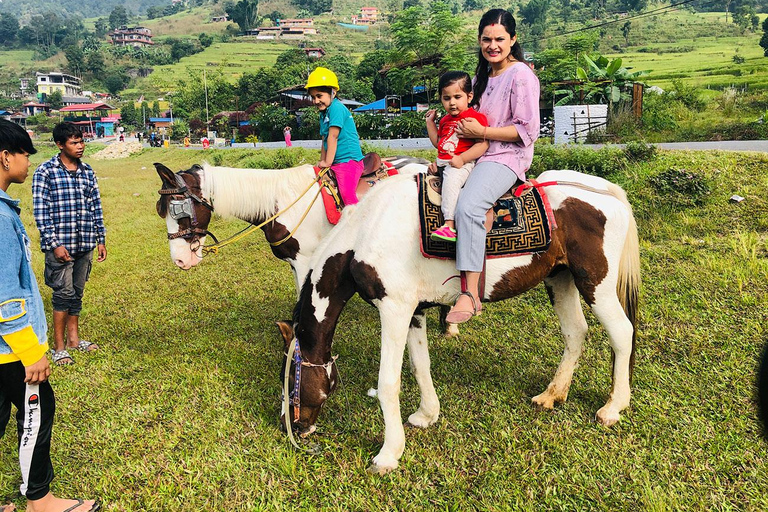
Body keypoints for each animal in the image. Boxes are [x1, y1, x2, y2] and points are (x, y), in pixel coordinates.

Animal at [276, 170, 640, 474]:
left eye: (291, 378)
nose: (288, 426)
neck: (369, 229)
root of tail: (608, 193)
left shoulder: (393, 309)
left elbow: (388, 382)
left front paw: (389, 454)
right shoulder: (414, 310)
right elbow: (419, 365)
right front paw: (427, 415)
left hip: (595, 284)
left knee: (622, 333)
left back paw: (614, 406)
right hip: (560, 279)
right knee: (575, 333)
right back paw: (553, 394)